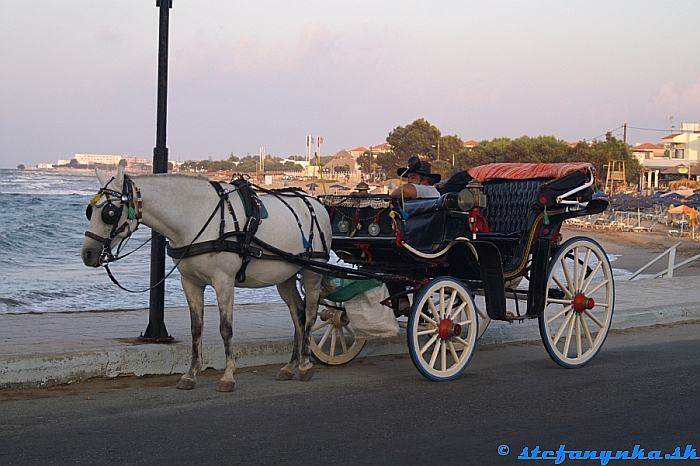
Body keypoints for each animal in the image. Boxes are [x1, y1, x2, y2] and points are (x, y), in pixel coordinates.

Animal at [80, 166, 332, 392]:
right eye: (90, 212)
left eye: (109, 213)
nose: (88, 254)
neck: (195, 217)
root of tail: (317, 204)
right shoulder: (190, 282)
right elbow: (196, 328)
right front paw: (190, 374)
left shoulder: (224, 282)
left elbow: (225, 328)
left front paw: (228, 376)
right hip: (285, 276)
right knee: (298, 316)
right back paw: (290, 366)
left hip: (312, 272)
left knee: (310, 315)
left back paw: (305, 365)